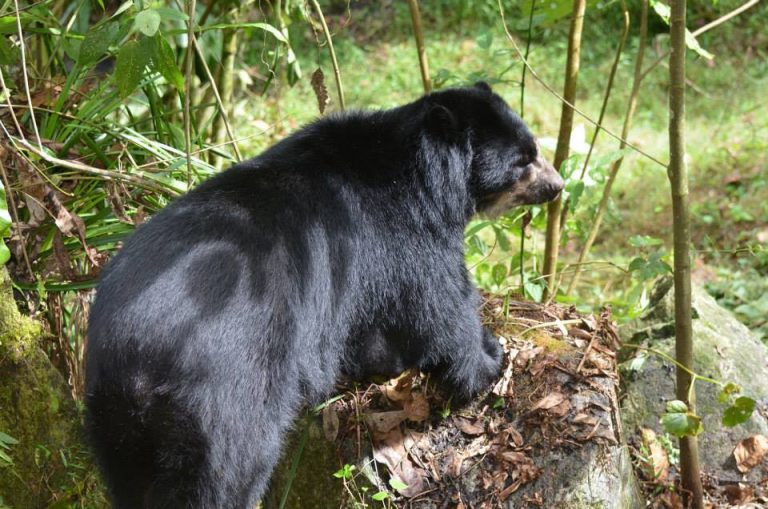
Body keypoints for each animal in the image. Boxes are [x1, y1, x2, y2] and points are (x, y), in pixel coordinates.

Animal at [84, 82, 564, 508]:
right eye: (522, 161)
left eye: (534, 149)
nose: (558, 185)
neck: (422, 170)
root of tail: (141, 353)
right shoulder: (405, 236)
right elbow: (439, 309)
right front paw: (490, 359)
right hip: (228, 392)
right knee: (230, 469)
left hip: (115, 420)